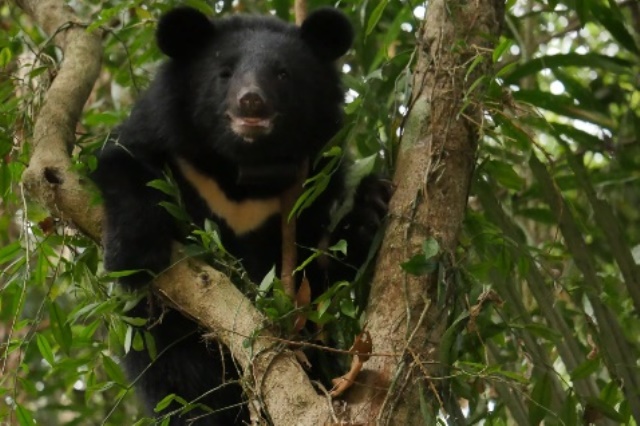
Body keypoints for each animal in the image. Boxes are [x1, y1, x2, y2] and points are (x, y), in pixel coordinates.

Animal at [92, 6, 390, 425]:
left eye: (282, 74)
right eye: (225, 72)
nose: (251, 101)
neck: (242, 173)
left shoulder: (313, 184)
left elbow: (321, 272)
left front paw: (371, 207)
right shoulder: (165, 140)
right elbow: (124, 165)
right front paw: (134, 258)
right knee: (178, 380)